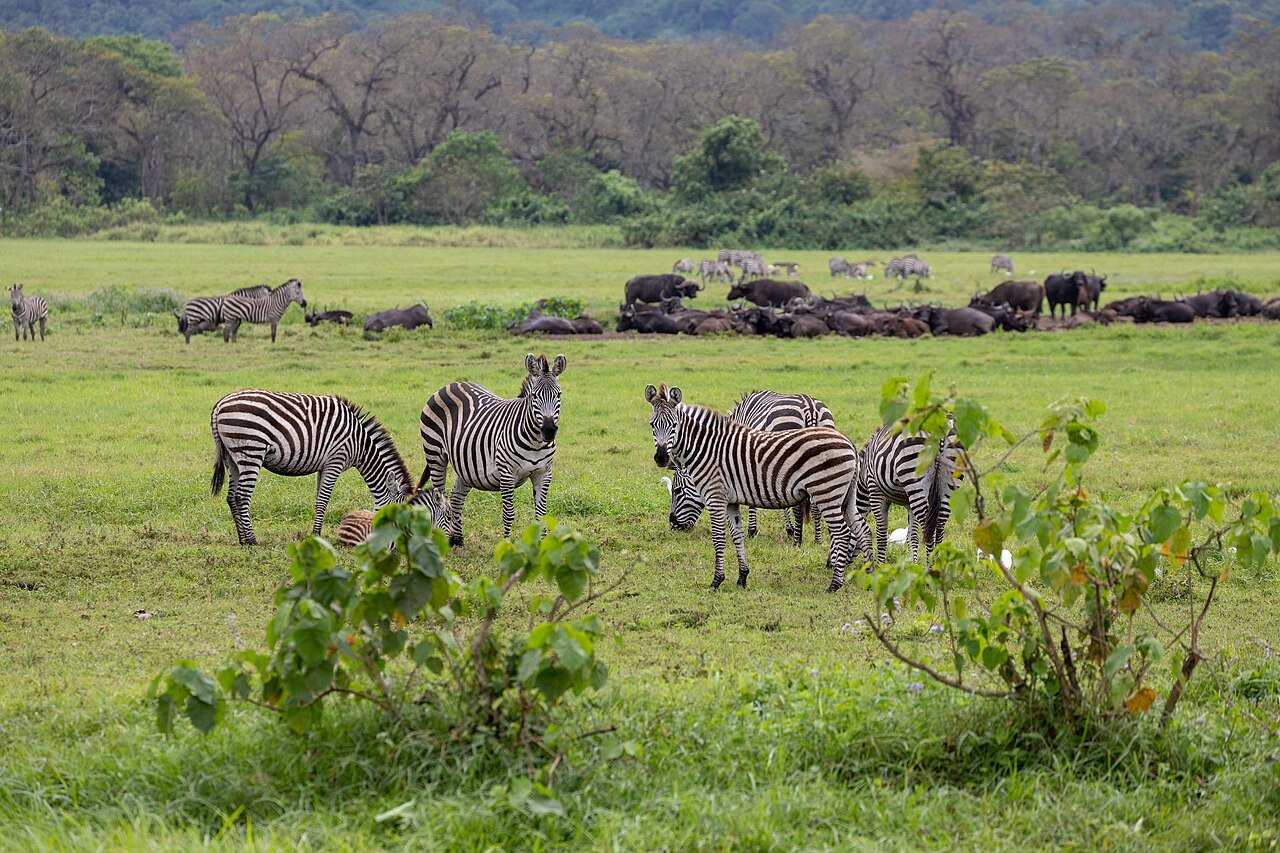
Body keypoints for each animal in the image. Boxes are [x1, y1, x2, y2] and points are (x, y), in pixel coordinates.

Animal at [210, 389, 444, 545]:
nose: (400, 540)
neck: (360, 444)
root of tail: (220, 404)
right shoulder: (335, 461)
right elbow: (323, 500)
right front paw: (316, 535)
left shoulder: (323, 465)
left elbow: (318, 500)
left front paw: (316, 533)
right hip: (251, 449)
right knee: (241, 497)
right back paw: (251, 540)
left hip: (233, 456)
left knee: (231, 497)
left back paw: (242, 539)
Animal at [420, 353, 566, 547]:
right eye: (535, 396)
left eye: (559, 395)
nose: (549, 430)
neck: (535, 442)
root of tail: (451, 384)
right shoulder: (507, 473)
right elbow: (509, 514)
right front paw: (507, 545)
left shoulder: (543, 473)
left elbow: (541, 514)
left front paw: (542, 547)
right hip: (435, 454)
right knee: (441, 499)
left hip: (467, 465)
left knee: (456, 497)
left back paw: (458, 540)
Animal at [666, 391, 836, 546]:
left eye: (677, 490)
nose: (673, 524)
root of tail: (810, 407)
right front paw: (789, 529)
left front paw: (753, 531)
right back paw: (818, 540)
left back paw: (799, 541)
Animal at [856, 420, 962, 565]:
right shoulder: (908, 502)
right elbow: (912, 536)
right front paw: (914, 564)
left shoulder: (875, 490)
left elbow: (881, 534)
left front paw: (881, 565)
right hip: (948, 483)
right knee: (940, 523)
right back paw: (938, 563)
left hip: (914, 475)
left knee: (929, 529)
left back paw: (930, 567)